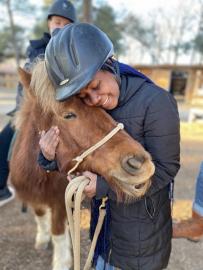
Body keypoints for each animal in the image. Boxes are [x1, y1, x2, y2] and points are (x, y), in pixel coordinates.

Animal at [9, 61, 155, 270]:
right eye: (69, 115)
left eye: (102, 110)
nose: (139, 162)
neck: (39, 175)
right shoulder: (33, 195)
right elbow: (40, 214)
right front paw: (42, 239)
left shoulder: (60, 200)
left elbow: (58, 231)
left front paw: (62, 261)